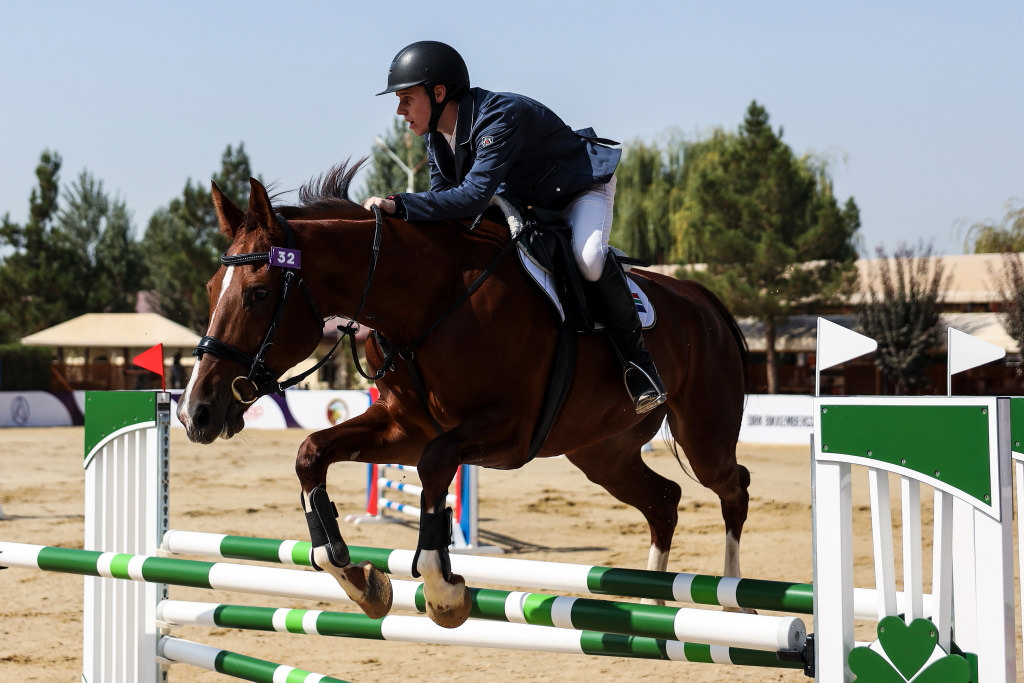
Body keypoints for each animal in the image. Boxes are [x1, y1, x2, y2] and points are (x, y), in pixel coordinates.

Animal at [177, 160, 750, 629]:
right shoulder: (403, 427)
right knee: (664, 501)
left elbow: (434, 467)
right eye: (209, 289)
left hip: (702, 436)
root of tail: (705, 301)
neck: (430, 300)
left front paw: (444, 592)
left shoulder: (507, 431)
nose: (194, 413)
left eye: (258, 294)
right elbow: (310, 454)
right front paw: (360, 579)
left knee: (733, 486)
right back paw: (654, 602)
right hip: (601, 452)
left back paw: (731, 598)